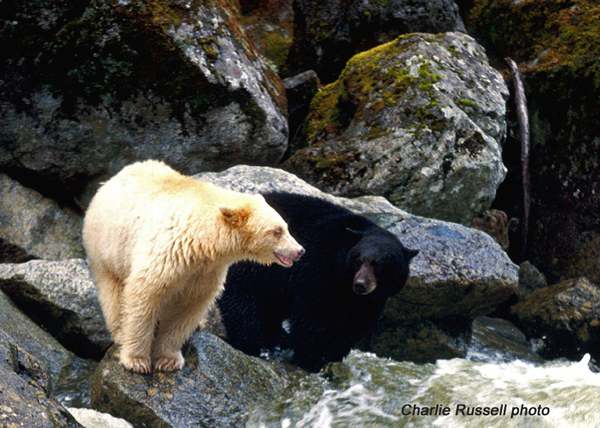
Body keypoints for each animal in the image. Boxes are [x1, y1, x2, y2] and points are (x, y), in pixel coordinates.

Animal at [216, 192, 418, 372]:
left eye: (379, 265)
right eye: (359, 260)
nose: (360, 284)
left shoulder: (371, 301)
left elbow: (352, 326)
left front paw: (332, 357)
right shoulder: (320, 270)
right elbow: (314, 314)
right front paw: (310, 360)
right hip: (249, 268)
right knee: (243, 305)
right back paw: (250, 344)